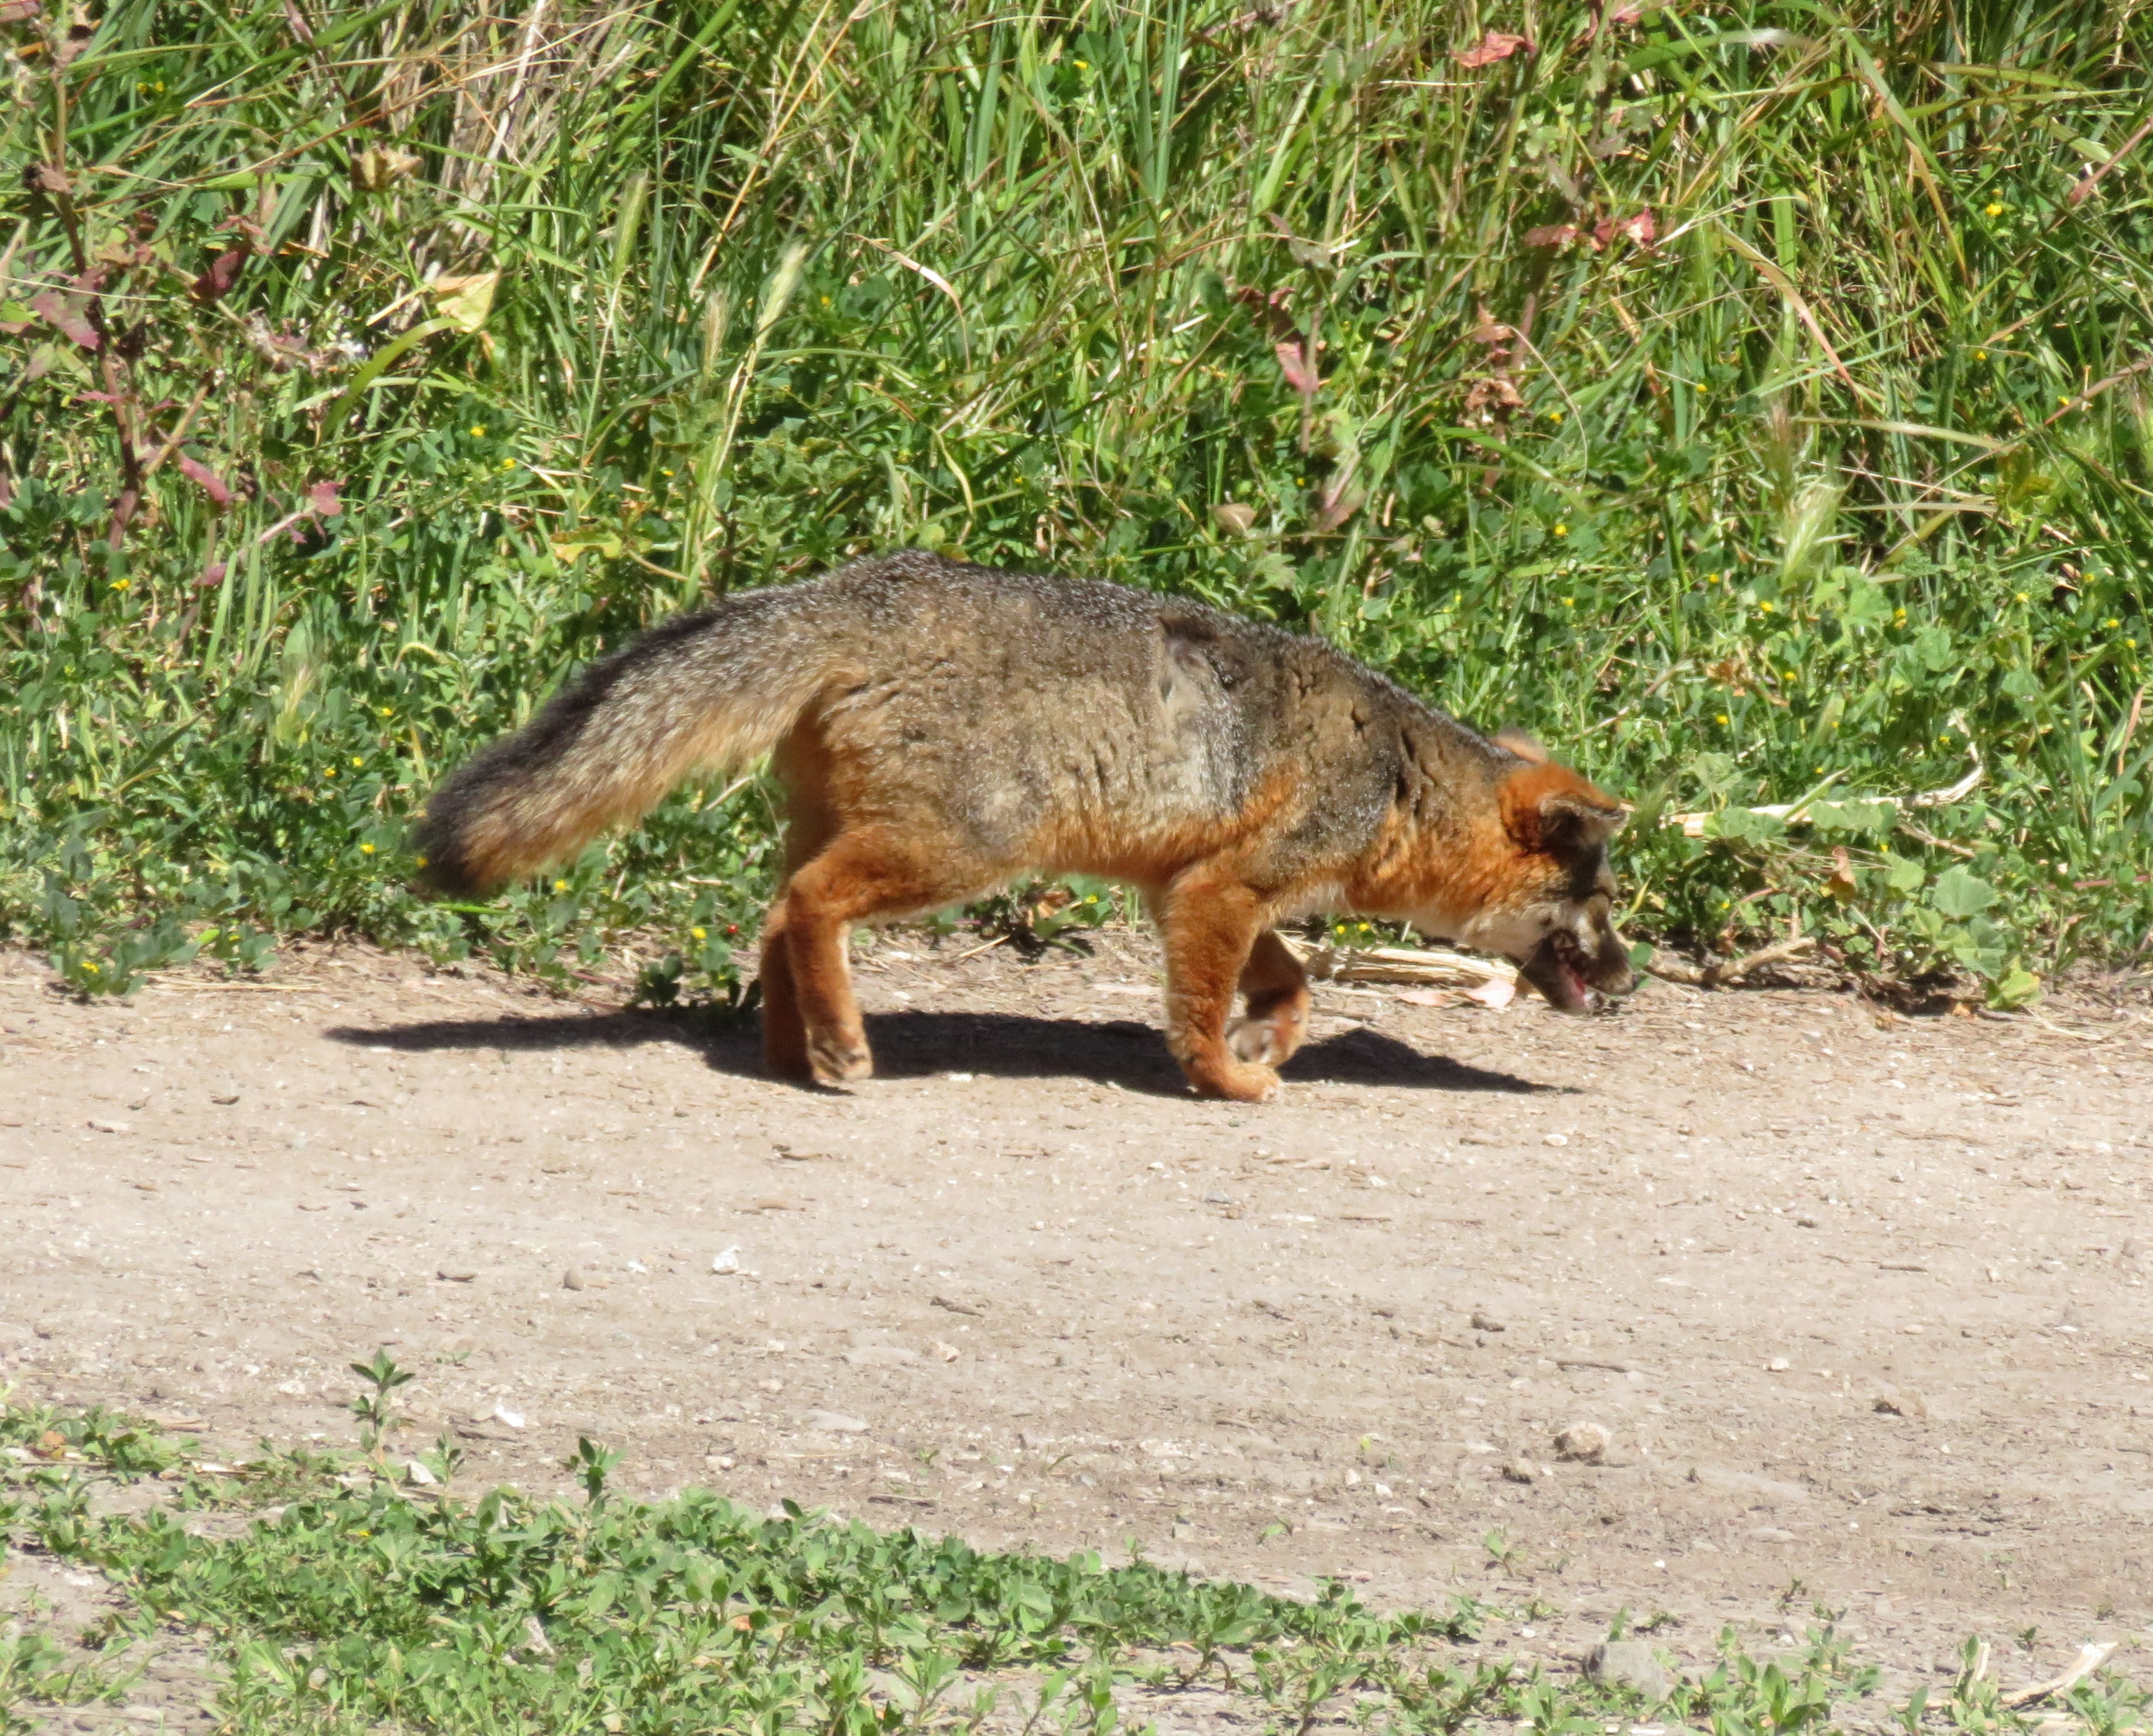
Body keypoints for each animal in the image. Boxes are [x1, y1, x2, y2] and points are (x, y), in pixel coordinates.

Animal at [412, 551, 1633, 1102]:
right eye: (1603, 904)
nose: (1630, 978)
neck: (1397, 774)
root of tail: (856, 586)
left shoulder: (1195, 884)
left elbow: (1286, 979)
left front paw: (1266, 1038)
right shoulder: (1221, 892)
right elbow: (1204, 1006)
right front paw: (1224, 1077)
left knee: (772, 919)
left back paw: (792, 1053)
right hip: (963, 850)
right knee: (805, 905)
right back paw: (841, 1051)